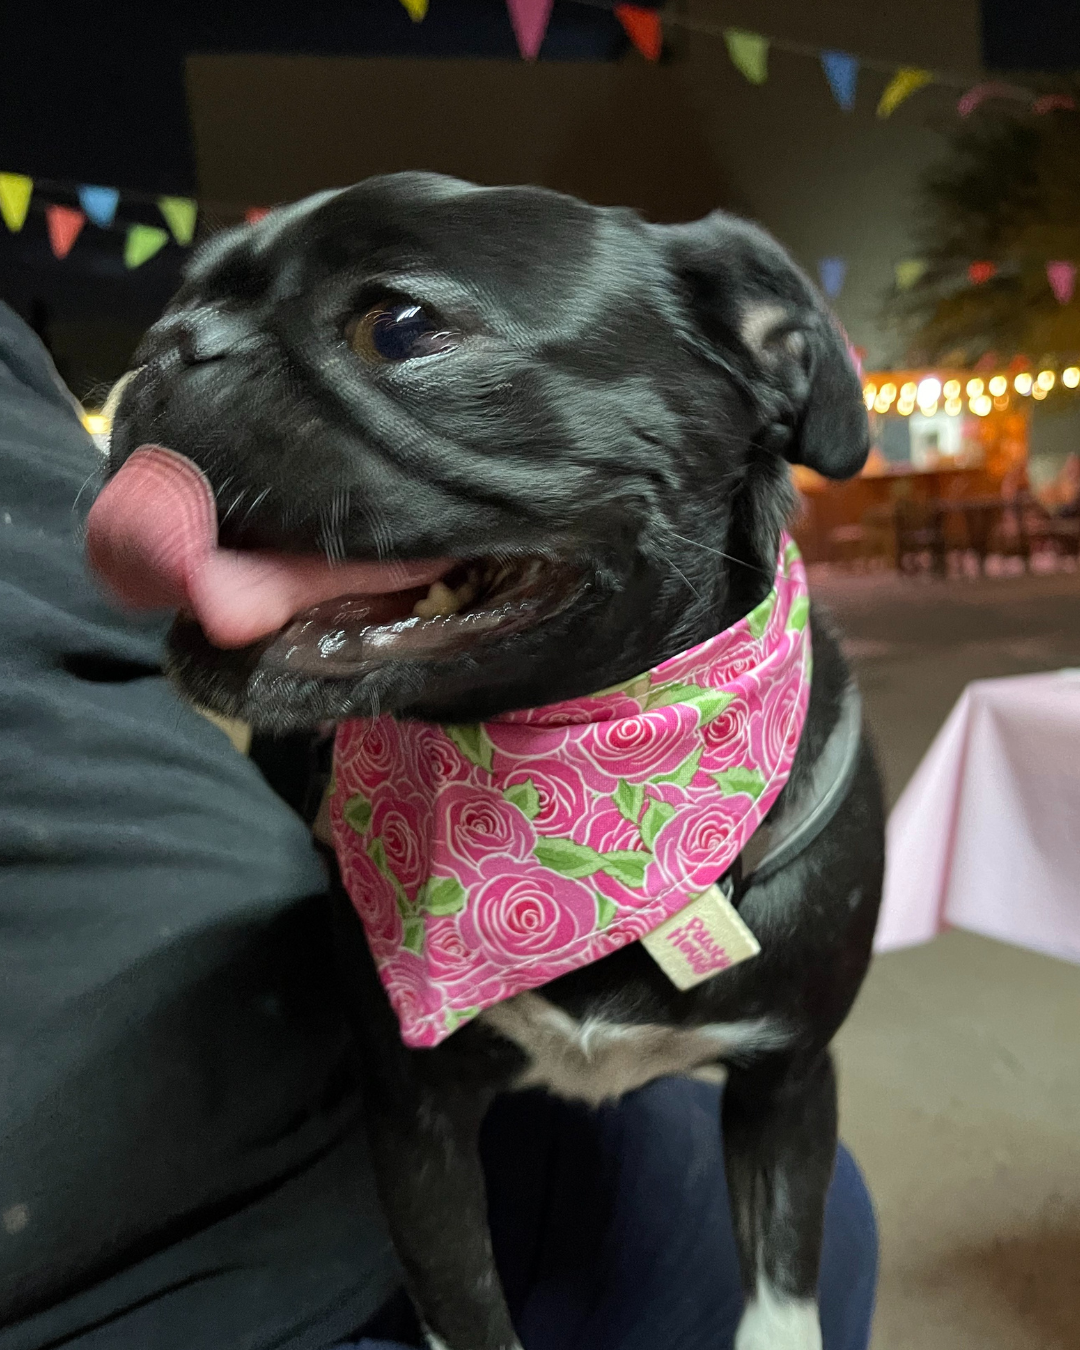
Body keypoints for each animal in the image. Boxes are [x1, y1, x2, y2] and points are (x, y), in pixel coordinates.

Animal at [105, 176, 885, 1350]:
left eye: (399, 325)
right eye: (175, 302)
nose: (165, 345)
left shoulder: (787, 1087)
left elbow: (782, 1306)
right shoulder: (415, 1122)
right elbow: (469, 1313)